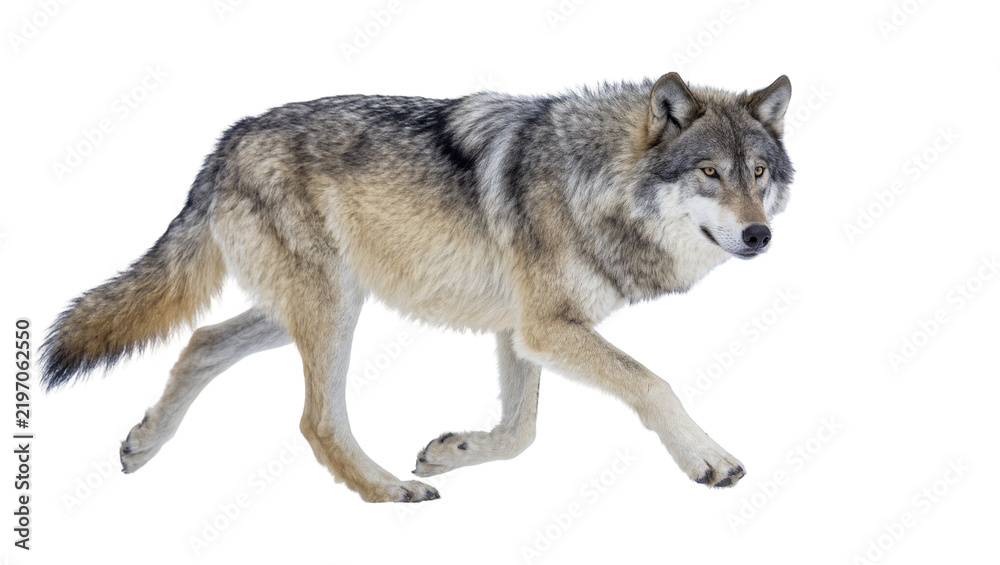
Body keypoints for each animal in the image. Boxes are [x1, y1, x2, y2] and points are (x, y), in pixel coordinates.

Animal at [41, 73, 794, 503]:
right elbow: (652, 383)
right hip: (333, 311)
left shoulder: (521, 330)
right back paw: (387, 490)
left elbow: (520, 432)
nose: (760, 236)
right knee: (316, 420)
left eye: (758, 172)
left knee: (200, 339)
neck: (593, 179)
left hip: (309, 308)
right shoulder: (547, 327)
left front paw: (454, 451)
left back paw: (144, 443)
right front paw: (707, 457)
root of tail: (224, 142)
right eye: (709, 172)